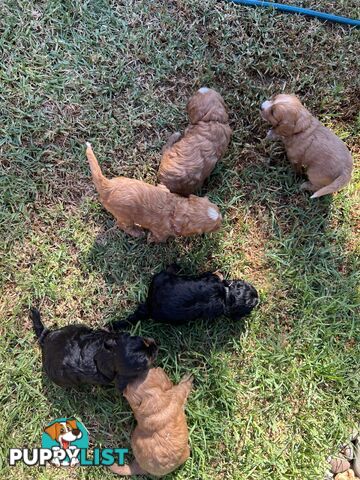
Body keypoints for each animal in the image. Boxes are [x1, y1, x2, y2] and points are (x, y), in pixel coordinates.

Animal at [87, 141, 222, 242]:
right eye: (214, 227)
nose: (222, 221)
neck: (176, 209)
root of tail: (108, 186)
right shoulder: (161, 231)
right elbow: (159, 237)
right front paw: (151, 239)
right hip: (124, 216)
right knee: (123, 225)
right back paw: (137, 232)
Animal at [111, 264, 258, 328]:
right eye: (249, 286)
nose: (258, 297)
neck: (226, 295)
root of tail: (150, 307)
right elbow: (214, 274)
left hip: (159, 279)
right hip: (159, 278)